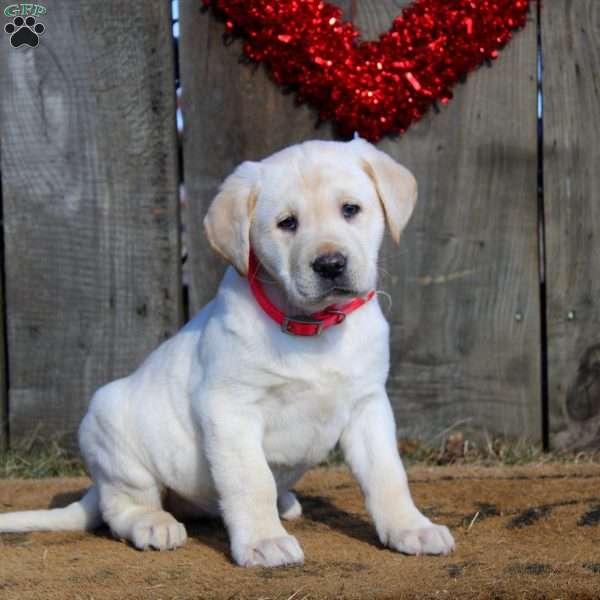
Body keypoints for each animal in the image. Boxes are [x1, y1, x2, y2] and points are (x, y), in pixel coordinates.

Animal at [0, 137, 452, 568]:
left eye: (351, 209)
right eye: (287, 223)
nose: (330, 264)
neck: (313, 328)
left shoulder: (368, 404)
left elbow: (387, 475)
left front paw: (411, 528)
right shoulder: (229, 407)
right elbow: (251, 479)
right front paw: (264, 541)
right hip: (111, 432)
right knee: (122, 507)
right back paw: (154, 523)